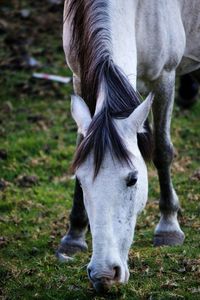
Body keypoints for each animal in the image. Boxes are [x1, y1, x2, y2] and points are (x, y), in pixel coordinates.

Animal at [56, 0, 200, 292]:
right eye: (82, 181)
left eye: (133, 179)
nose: (103, 274)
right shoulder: (79, 76)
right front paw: (74, 235)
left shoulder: (165, 77)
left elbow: (161, 150)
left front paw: (168, 226)